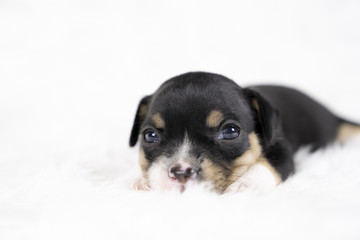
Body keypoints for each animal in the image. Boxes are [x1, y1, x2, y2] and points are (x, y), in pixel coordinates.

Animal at [129, 72, 360, 194]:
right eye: (150, 136)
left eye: (230, 132)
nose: (180, 172)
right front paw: (143, 181)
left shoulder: (280, 149)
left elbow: (266, 167)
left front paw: (243, 185)